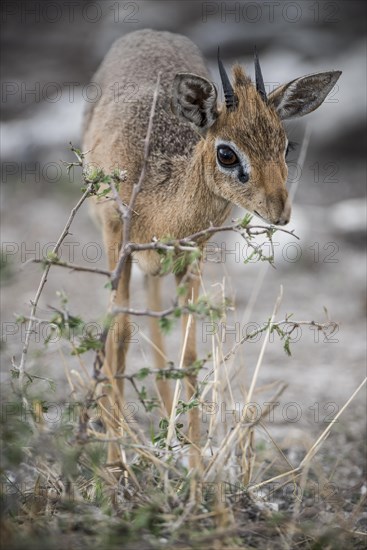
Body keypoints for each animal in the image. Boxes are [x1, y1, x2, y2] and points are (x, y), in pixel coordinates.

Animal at [83, 29, 342, 470]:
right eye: (226, 152)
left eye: (286, 146)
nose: (280, 210)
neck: (156, 192)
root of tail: (150, 33)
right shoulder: (117, 239)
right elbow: (118, 340)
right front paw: (115, 467)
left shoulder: (193, 255)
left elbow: (189, 352)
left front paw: (196, 465)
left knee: (157, 319)